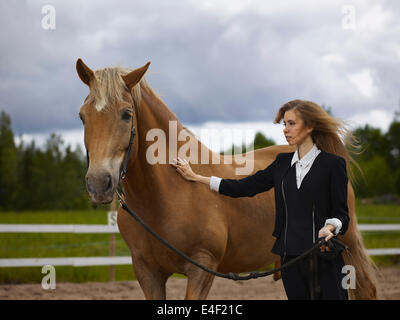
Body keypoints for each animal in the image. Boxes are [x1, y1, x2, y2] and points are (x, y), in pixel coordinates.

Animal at [76, 58, 378, 300]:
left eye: (126, 114)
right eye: (82, 117)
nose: (98, 183)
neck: (166, 194)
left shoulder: (202, 268)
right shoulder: (146, 271)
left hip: (345, 246)